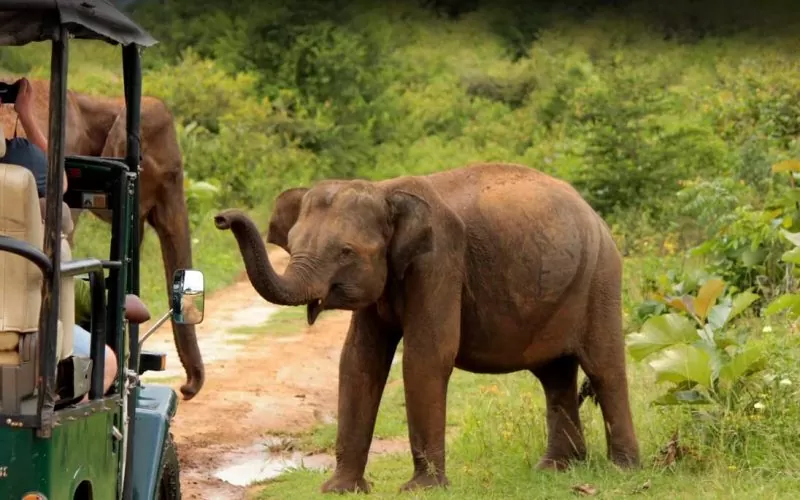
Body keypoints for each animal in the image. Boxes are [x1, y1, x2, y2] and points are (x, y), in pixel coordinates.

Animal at [212, 163, 636, 492]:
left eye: (345, 252)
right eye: (294, 242)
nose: (220, 218)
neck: (385, 190)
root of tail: (594, 214)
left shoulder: (439, 258)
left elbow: (427, 354)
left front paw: (422, 489)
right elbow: (359, 361)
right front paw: (340, 490)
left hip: (600, 277)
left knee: (603, 368)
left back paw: (623, 469)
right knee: (554, 375)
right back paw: (557, 469)